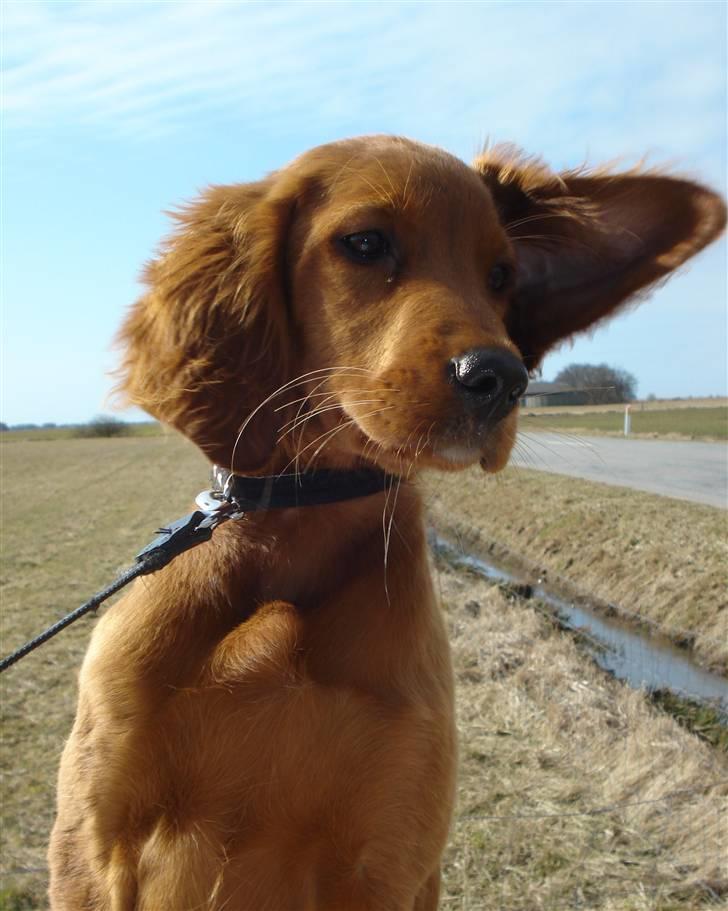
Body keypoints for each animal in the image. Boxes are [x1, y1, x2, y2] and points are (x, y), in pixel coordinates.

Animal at [48, 137, 724, 911]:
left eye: (501, 276)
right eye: (366, 243)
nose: (502, 378)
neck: (294, 536)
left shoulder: (386, 857)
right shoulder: (90, 848)